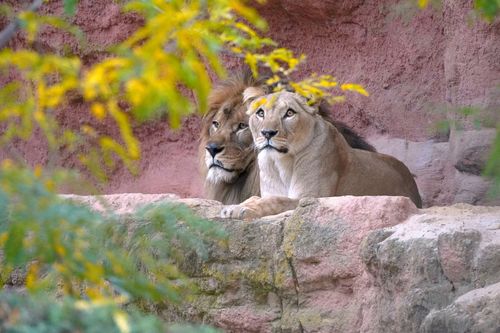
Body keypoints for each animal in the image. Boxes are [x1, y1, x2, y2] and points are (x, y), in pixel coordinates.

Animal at [222, 89, 422, 218]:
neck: (281, 162)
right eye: (260, 113)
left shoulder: (311, 198)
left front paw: (239, 209)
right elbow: (260, 197)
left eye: (289, 113)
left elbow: (276, 200)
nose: (267, 133)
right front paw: (235, 206)